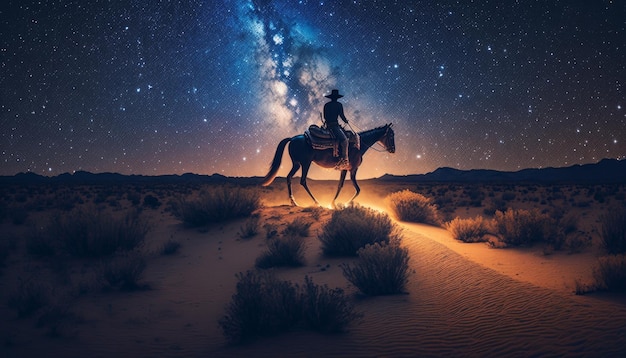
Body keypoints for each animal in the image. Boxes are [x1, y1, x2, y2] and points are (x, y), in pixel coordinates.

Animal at [260, 124, 394, 206]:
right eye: (391, 135)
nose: (393, 149)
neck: (359, 145)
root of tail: (292, 138)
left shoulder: (345, 169)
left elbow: (341, 185)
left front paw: (334, 203)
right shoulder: (353, 169)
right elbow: (358, 189)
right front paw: (344, 203)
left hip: (296, 164)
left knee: (288, 177)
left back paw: (294, 202)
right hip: (305, 163)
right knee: (303, 181)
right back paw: (316, 202)